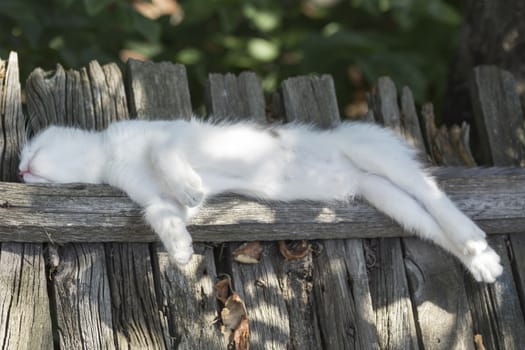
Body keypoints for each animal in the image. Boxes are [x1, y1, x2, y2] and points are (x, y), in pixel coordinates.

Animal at [19, 119, 504, 284]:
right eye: (20, 159)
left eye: (32, 147)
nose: (20, 169)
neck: (109, 158)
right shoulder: (156, 200)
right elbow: (163, 214)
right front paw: (181, 252)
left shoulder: (168, 135)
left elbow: (165, 156)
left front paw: (191, 185)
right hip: (381, 194)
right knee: (424, 218)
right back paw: (483, 261)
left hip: (374, 156)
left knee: (432, 193)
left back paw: (471, 235)